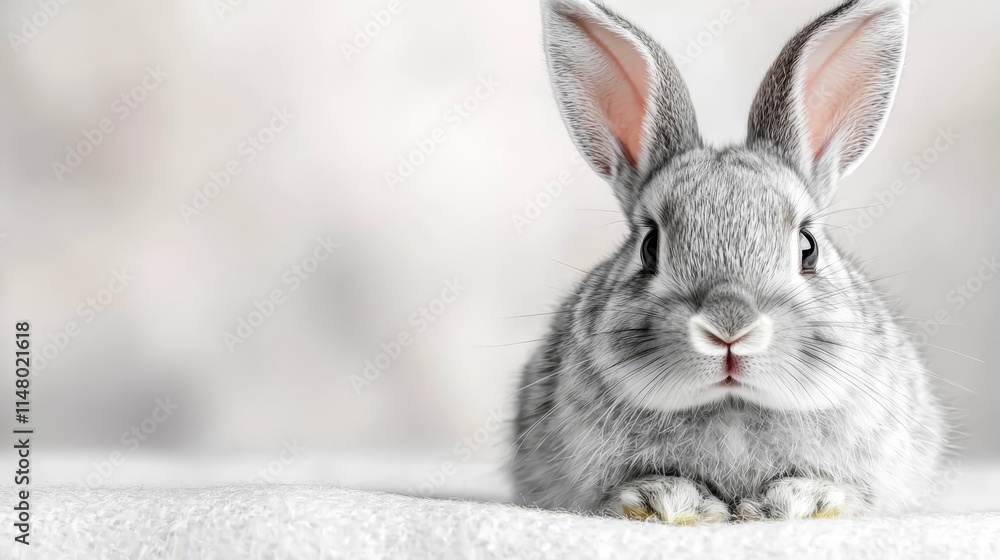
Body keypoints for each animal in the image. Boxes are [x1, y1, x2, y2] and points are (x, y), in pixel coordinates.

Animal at [511, 0, 950, 523]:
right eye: (649, 247)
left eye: (808, 246)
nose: (729, 327)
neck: (732, 407)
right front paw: (669, 502)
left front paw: (798, 501)